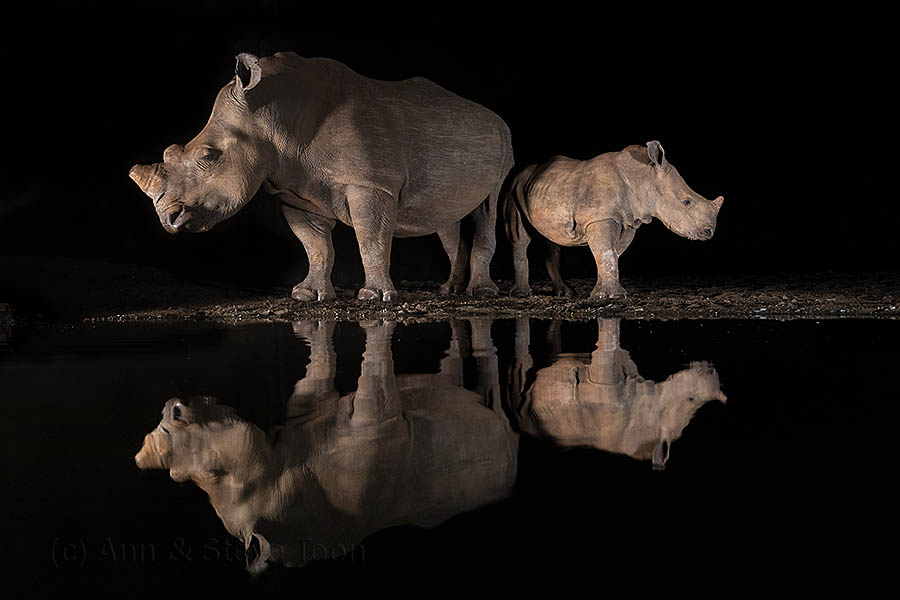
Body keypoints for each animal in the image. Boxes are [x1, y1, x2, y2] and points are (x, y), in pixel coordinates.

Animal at [129, 52, 514, 302]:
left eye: (209, 156)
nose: (168, 219)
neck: (268, 115)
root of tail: (494, 115)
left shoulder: (370, 184)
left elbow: (371, 240)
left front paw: (375, 297)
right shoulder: (294, 191)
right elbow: (315, 246)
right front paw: (307, 294)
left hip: (504, 144)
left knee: (488, 207)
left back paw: (480, 293)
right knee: (446, 218)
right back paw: (450, 290)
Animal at [503, 141, 723, 300]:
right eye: (687, 202)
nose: (709, 232)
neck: (643, 177)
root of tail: (522, 172)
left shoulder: (630, 221)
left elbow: (612, 253)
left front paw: (604, 293)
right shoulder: (600, 217)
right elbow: (606, 252)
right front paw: (612, 296)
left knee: (552, 239)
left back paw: (566, 294)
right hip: (514, 187)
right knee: (520, 237)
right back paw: (522, 295)